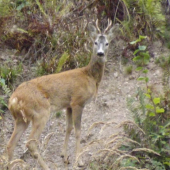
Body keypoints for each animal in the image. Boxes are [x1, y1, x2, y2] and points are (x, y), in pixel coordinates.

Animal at [6, 19, 118, 169]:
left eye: (107, 43)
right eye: (95, 42)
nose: (100, 53)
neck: (89, 76)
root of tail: (13, 100)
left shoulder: (68, 105)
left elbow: (68, 128)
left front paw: (64, 157)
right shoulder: (77, 102)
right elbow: (78, 131)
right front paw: (79, 161)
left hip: (21, 119)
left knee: (10, 145)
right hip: (40, 113)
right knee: (30, 142)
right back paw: (46, 167)